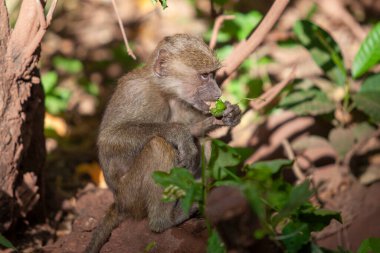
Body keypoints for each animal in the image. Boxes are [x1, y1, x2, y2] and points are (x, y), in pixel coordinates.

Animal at [85, 34, 240, 253]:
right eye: (204, 76)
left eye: (213, 74)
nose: (217, 94)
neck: (164, 91)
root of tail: (119, 204)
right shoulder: (137, 93)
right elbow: (109, 139)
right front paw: (178, 133)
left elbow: (195, 133)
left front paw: (225, 117)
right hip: (131, 196)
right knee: (158, 147)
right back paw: (165, 221)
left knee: (205, 145)